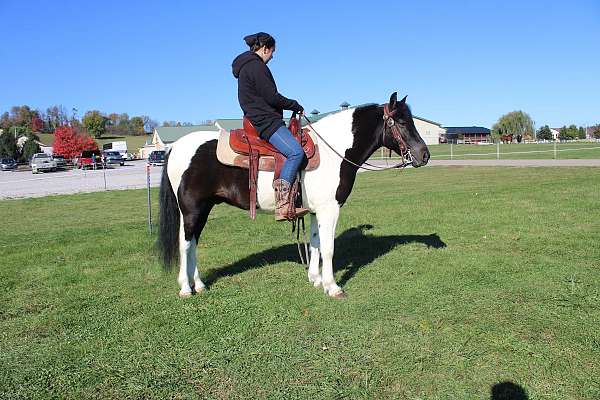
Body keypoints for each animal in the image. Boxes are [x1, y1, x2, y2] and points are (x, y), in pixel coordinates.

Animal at [157, 92, 428, 298]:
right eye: (402, 122)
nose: (424, 155)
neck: (334, 152)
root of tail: (175, 148)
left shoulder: (315, 211)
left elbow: (316, 244)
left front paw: (316, 279)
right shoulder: (330, 210)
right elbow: (328, 248)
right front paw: (333, 287)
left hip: (203, 209)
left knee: (193, 243)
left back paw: (200, 285)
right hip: (192, 210)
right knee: (185, 244)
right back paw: (186, 288)